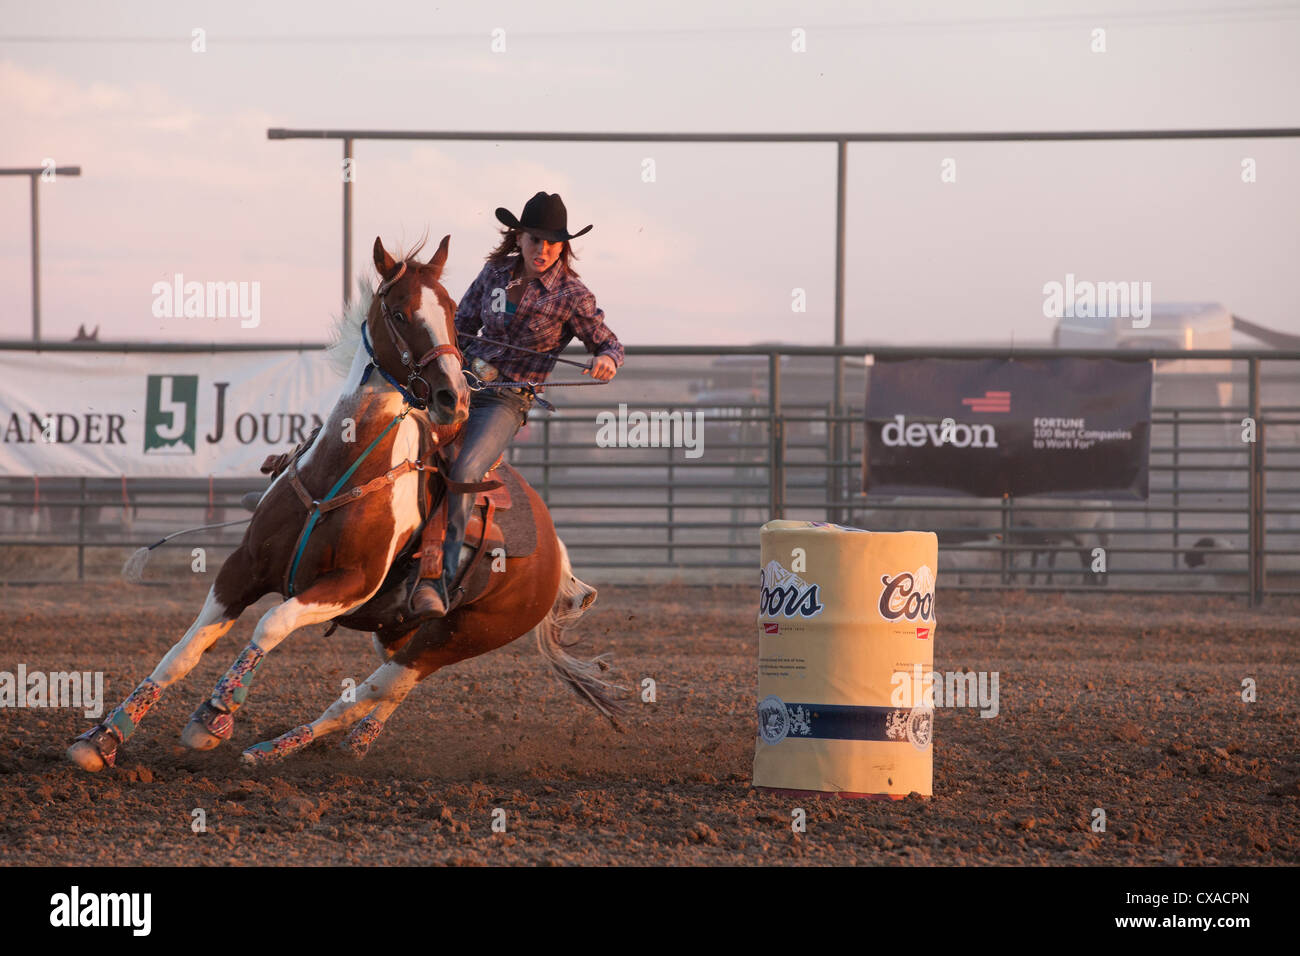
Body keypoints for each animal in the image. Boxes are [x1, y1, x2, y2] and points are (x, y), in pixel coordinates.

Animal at [65, 235, 624, 775]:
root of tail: (556, 550)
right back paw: (346, 744)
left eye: (446, 309)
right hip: (398, 627)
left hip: (462, 635)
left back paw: (276, 749)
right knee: (387, 688)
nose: (454, 398)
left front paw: (213, 717)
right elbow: (183, 651)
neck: (342, 470)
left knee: (381, 685)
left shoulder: (348, 583)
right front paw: (103, 739)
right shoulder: (243, 568)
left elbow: (272, 623)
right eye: (399, 312)